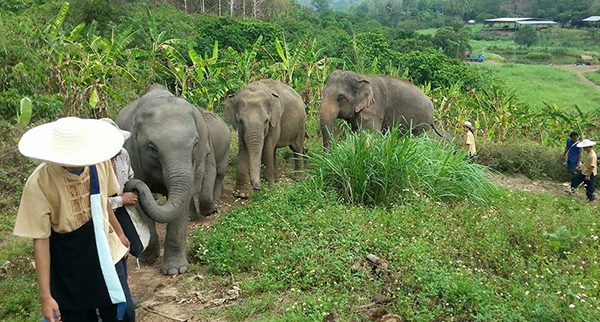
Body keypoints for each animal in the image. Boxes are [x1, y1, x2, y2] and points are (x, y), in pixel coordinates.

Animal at [116, 85, 230, 274]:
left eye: (195, 143)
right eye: (152, 148)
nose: (130, 185)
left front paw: (176, 271)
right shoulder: (133, 153)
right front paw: (148, 260)